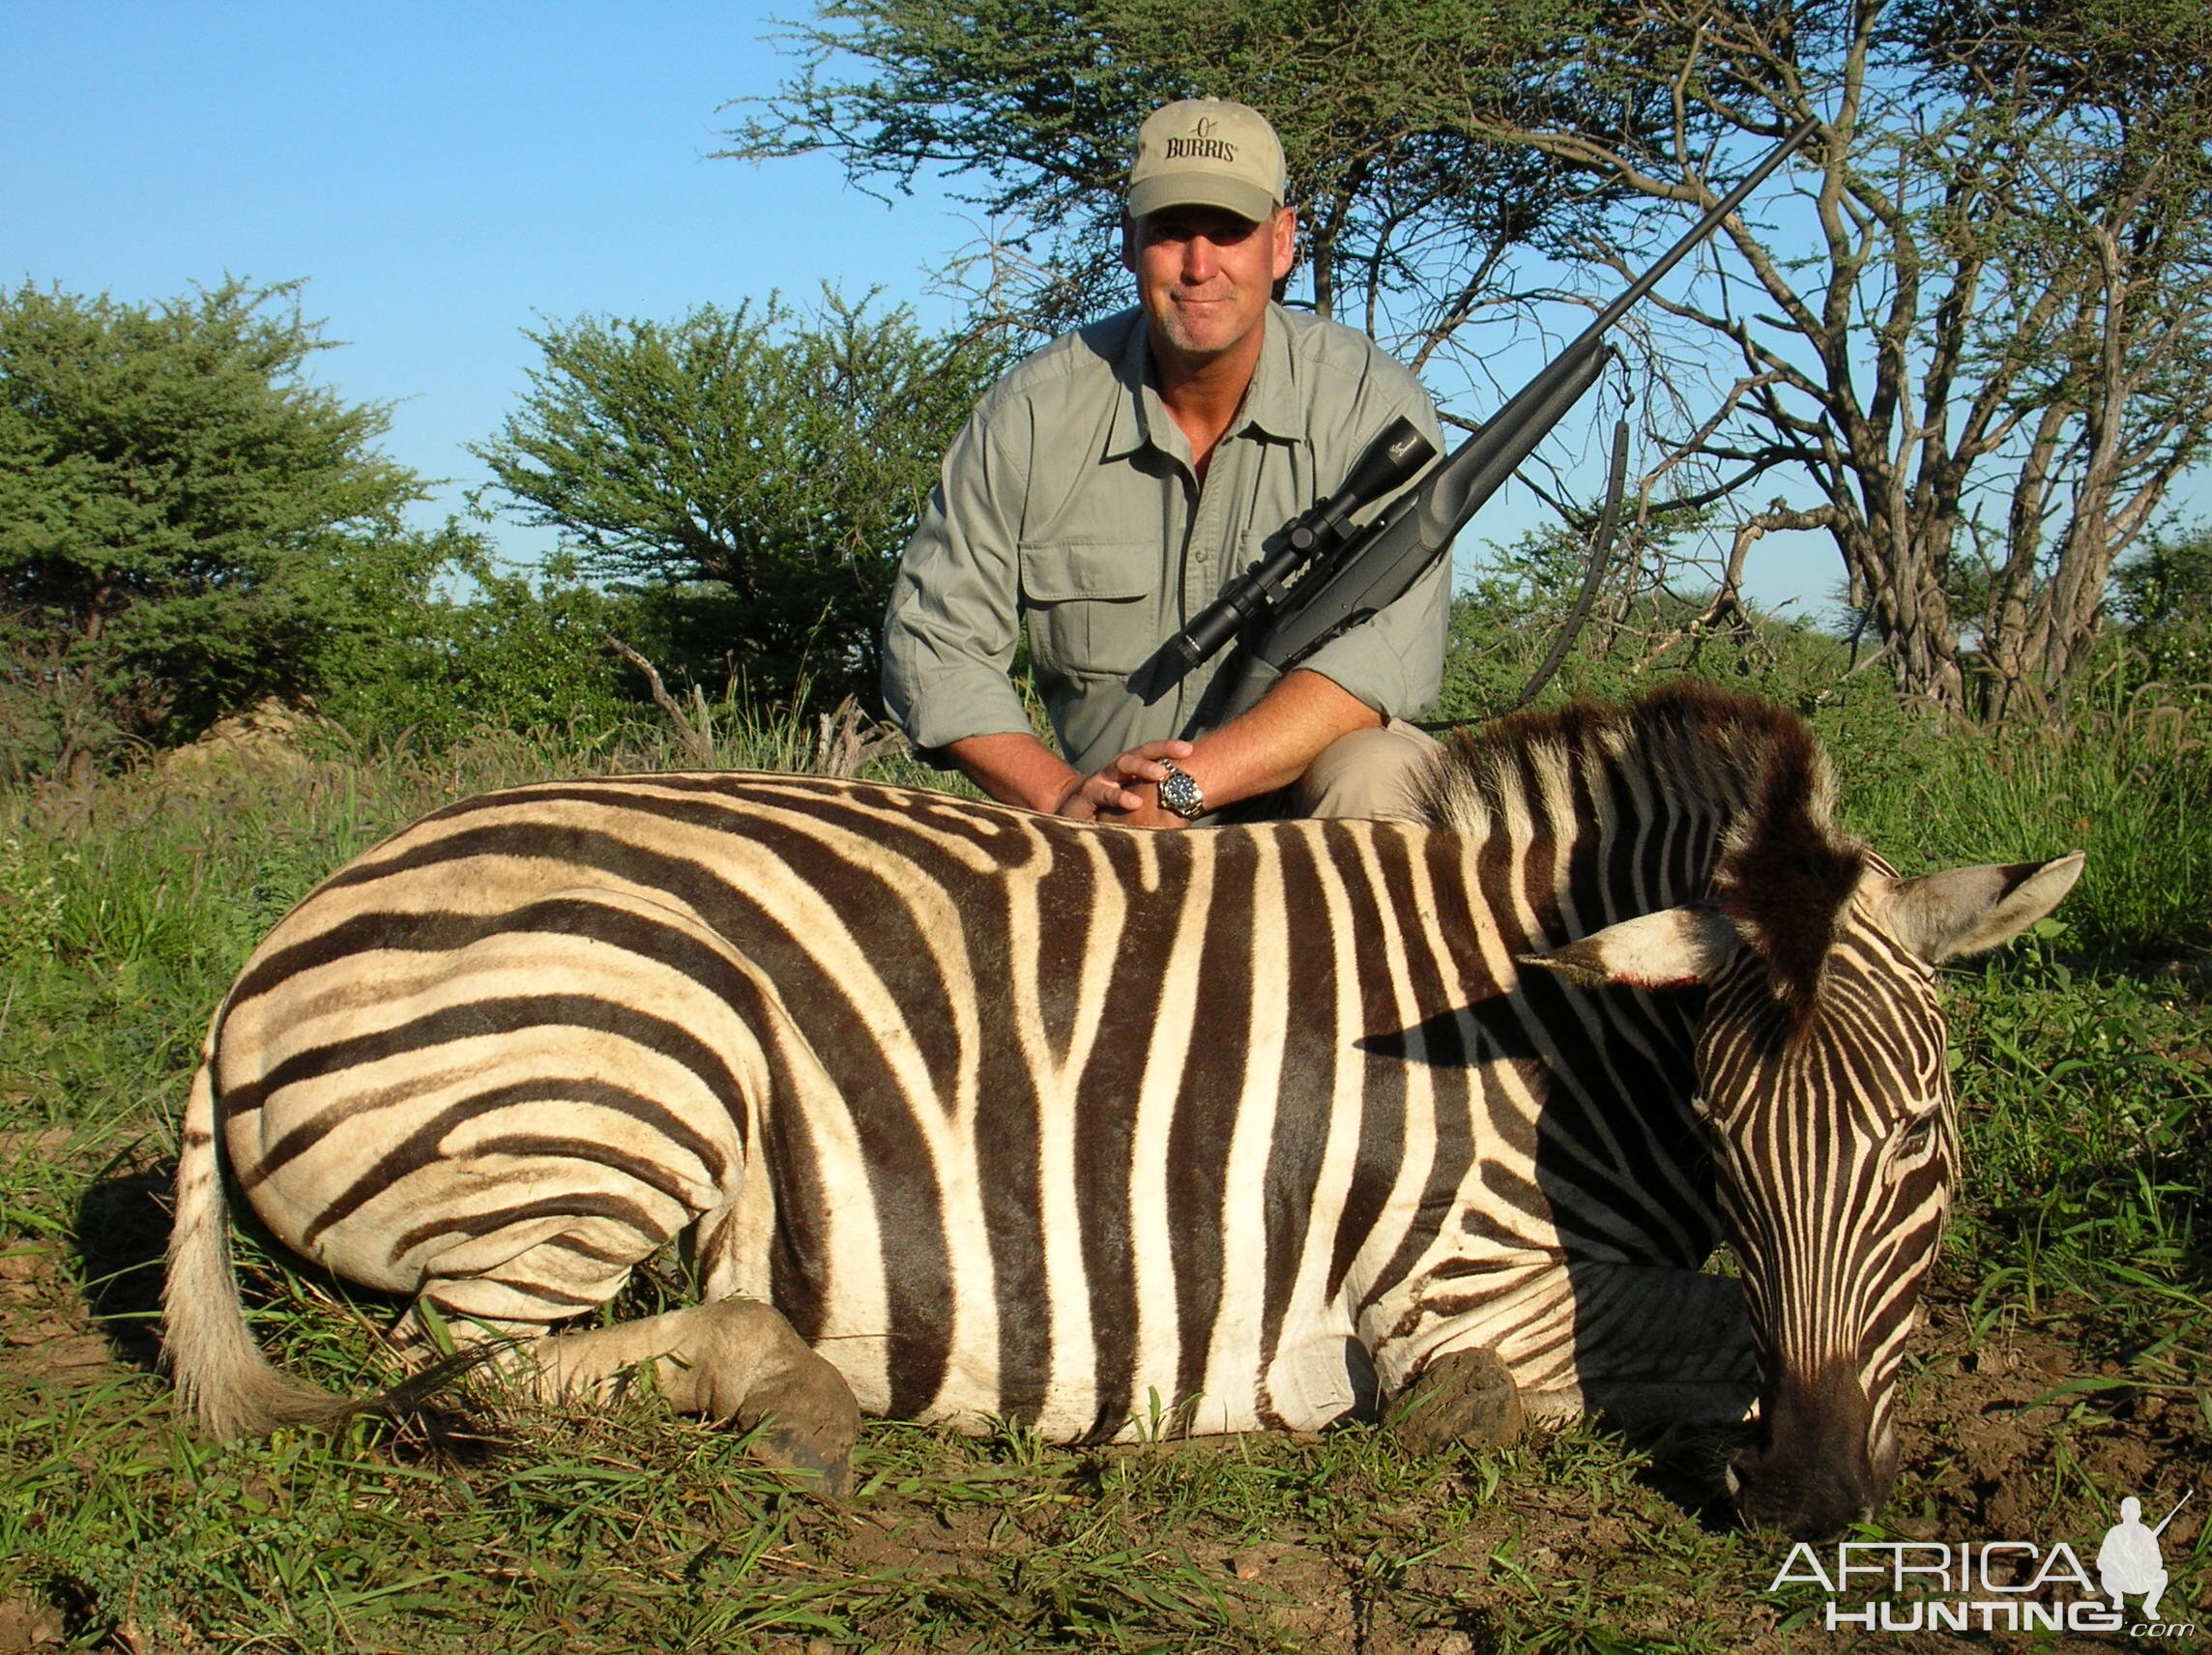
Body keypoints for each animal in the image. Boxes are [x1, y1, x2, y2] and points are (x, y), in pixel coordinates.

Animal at [163, 685, 2079, 1539]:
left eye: (1922, 1138)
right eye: (1731, 1137)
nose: (1812, 1500)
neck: (1554, 1030)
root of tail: (268, 943)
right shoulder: (1456, 1274)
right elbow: (1677, 1343)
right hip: (623, 1084)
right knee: (452, 1371)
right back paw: (792, 1398)